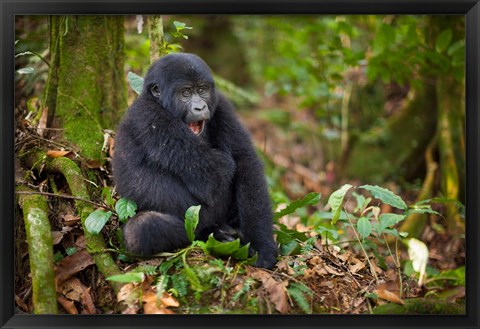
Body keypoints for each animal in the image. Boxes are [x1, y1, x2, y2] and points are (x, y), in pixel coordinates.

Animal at [113, 52, 278, 268]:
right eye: (185, 93)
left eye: (202, 90)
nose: (200, 107)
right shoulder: (148, 117)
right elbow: (215, 172)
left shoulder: (222, 104)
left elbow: (244, 161)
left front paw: (262, 244)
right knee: (142, 229)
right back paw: (215, 233)